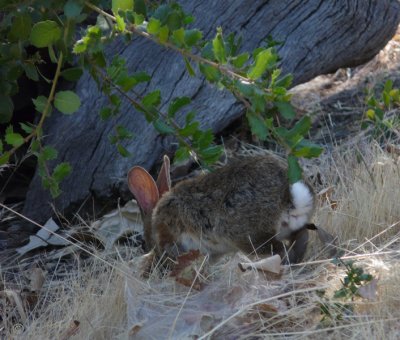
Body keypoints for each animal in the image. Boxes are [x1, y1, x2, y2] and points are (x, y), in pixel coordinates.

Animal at [128, 154, 316, 262]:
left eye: (144, 241)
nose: (148, 249)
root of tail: (288, 195)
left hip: (249, 237)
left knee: (278, 250)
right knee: (300, 238)